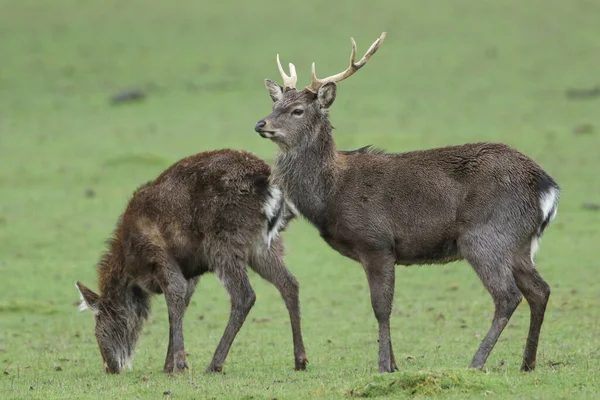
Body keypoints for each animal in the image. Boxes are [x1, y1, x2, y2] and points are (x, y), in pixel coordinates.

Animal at [75, 148, 308, 374]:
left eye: (99, 328)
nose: (109, 367)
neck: (131, 269)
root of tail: (270, 184)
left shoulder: (159, 254)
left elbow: (175, 297)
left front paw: (178, 364)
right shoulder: (190, 271)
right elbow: (183, 304)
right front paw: (168, 364)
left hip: (223, 243)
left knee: (245, 295)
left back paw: (214, 364)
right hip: (265, 246)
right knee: (289, 283)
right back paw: (300, 360)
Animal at [253, 32, 556, 374]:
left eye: (298, 110)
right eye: (274, 103)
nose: (261, 124)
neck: (331, 194)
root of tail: (546, 187)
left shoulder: (376, 241)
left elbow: (381, 306)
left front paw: (385, 365)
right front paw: (395, 363)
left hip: (485, 235)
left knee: (508, 296)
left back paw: (476, 362)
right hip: (518, 244)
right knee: (540, 290)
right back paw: (528, 362)